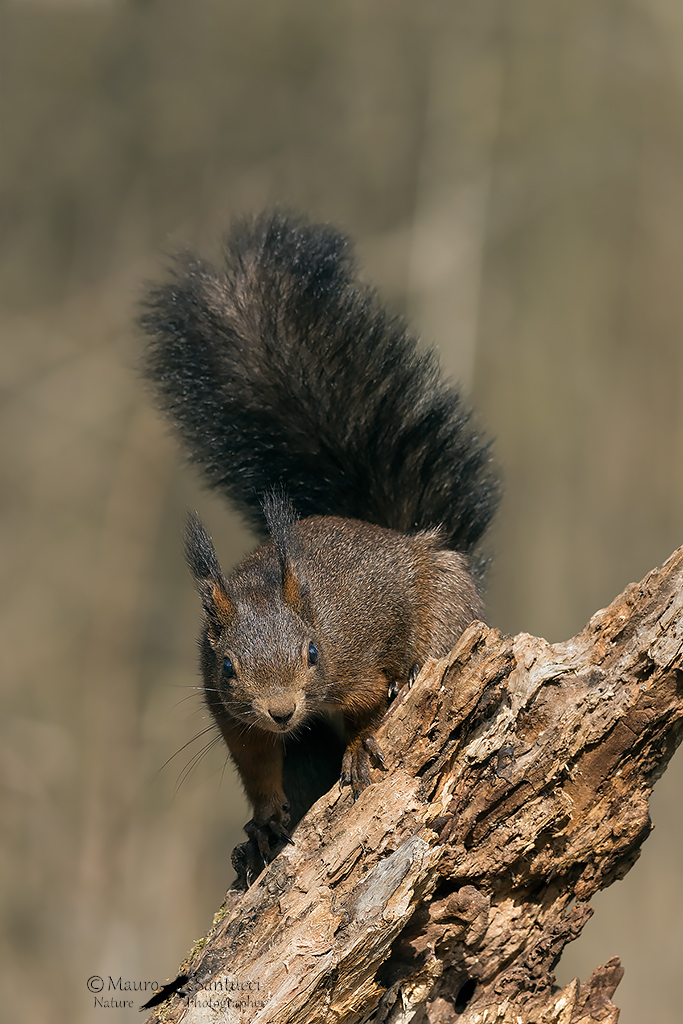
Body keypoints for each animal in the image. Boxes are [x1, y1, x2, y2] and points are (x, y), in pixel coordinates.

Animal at [139, 210, 499, 874]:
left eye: (312, 653)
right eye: (228, 665)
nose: (283, 710)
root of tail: (404, 536)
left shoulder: (356, 664)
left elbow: (369, 707)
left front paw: (361, 746)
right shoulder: (232, 712)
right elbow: (255, 763)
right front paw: (264, 819)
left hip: (445, 606)